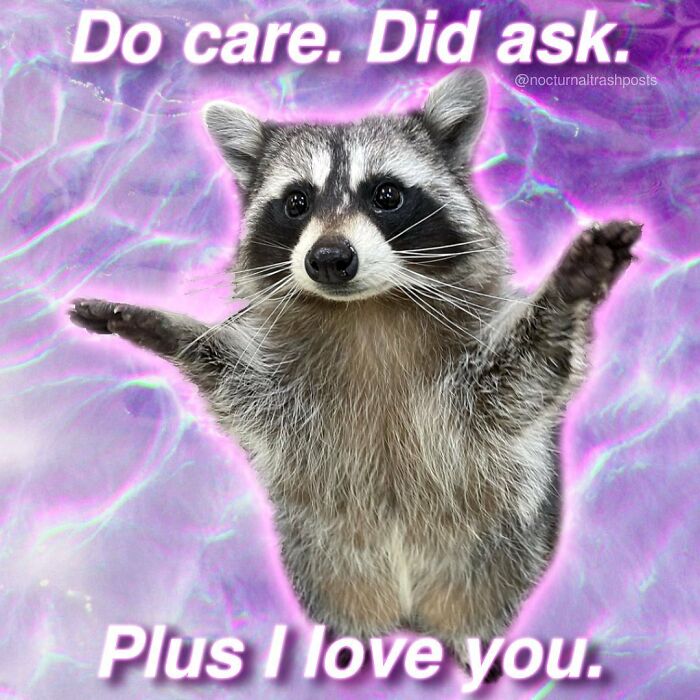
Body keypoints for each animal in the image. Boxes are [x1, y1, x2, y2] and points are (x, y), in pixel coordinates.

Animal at [70, 70, 640, 678]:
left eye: (385, 195)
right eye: (297, 202)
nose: (329, 259)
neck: (367, 312)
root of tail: (408, 612)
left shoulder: (477, 392)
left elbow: (526, 375)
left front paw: (567, 287)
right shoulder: (287, 399)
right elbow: (234, 383)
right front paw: (168, 327)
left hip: (495, 564)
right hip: (326, 569)